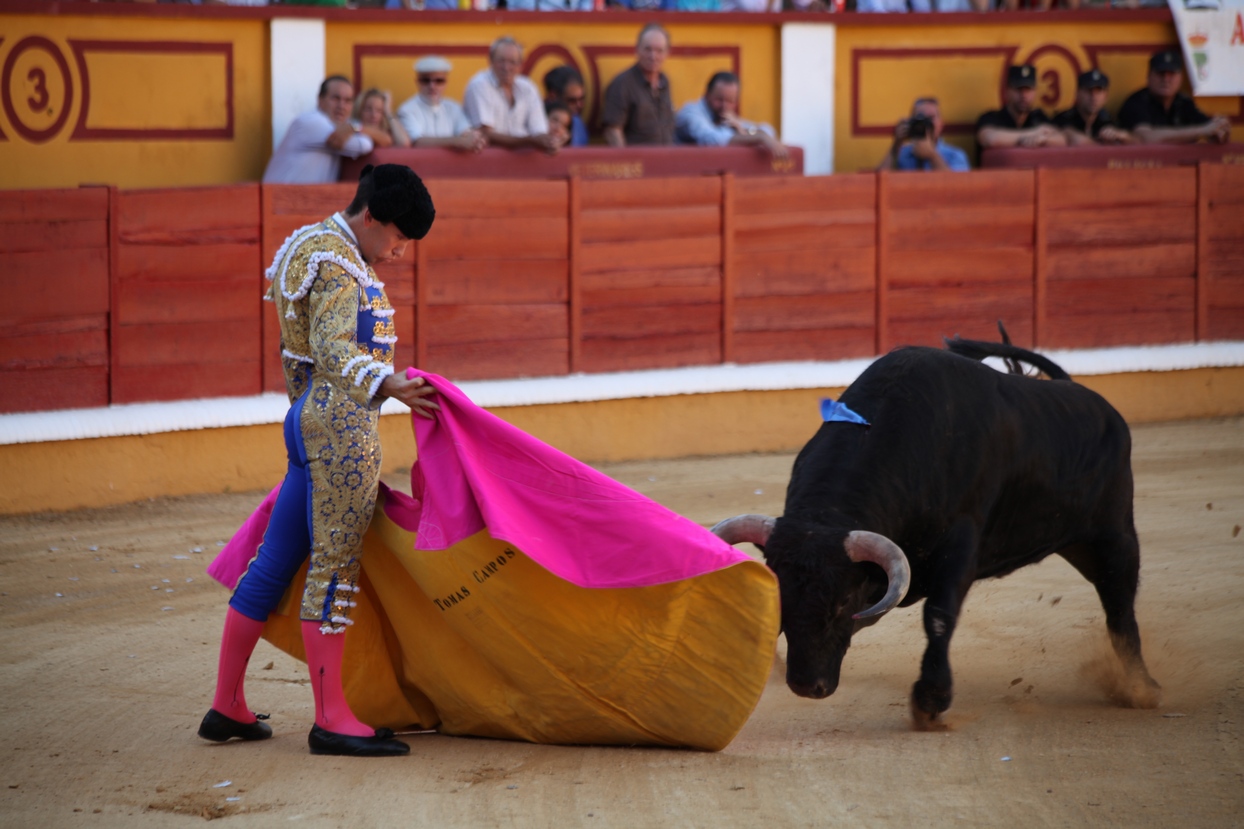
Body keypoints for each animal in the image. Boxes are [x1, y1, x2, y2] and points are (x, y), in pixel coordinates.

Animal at [716, 338, 1159, 726]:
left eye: (842, 602)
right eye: (781, 596)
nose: (808, 685)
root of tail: (1089, 399)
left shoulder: (960, 544)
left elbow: (939, 616)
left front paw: (930, 701)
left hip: (1114, 535)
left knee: (1120, 606)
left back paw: (1141, 688)